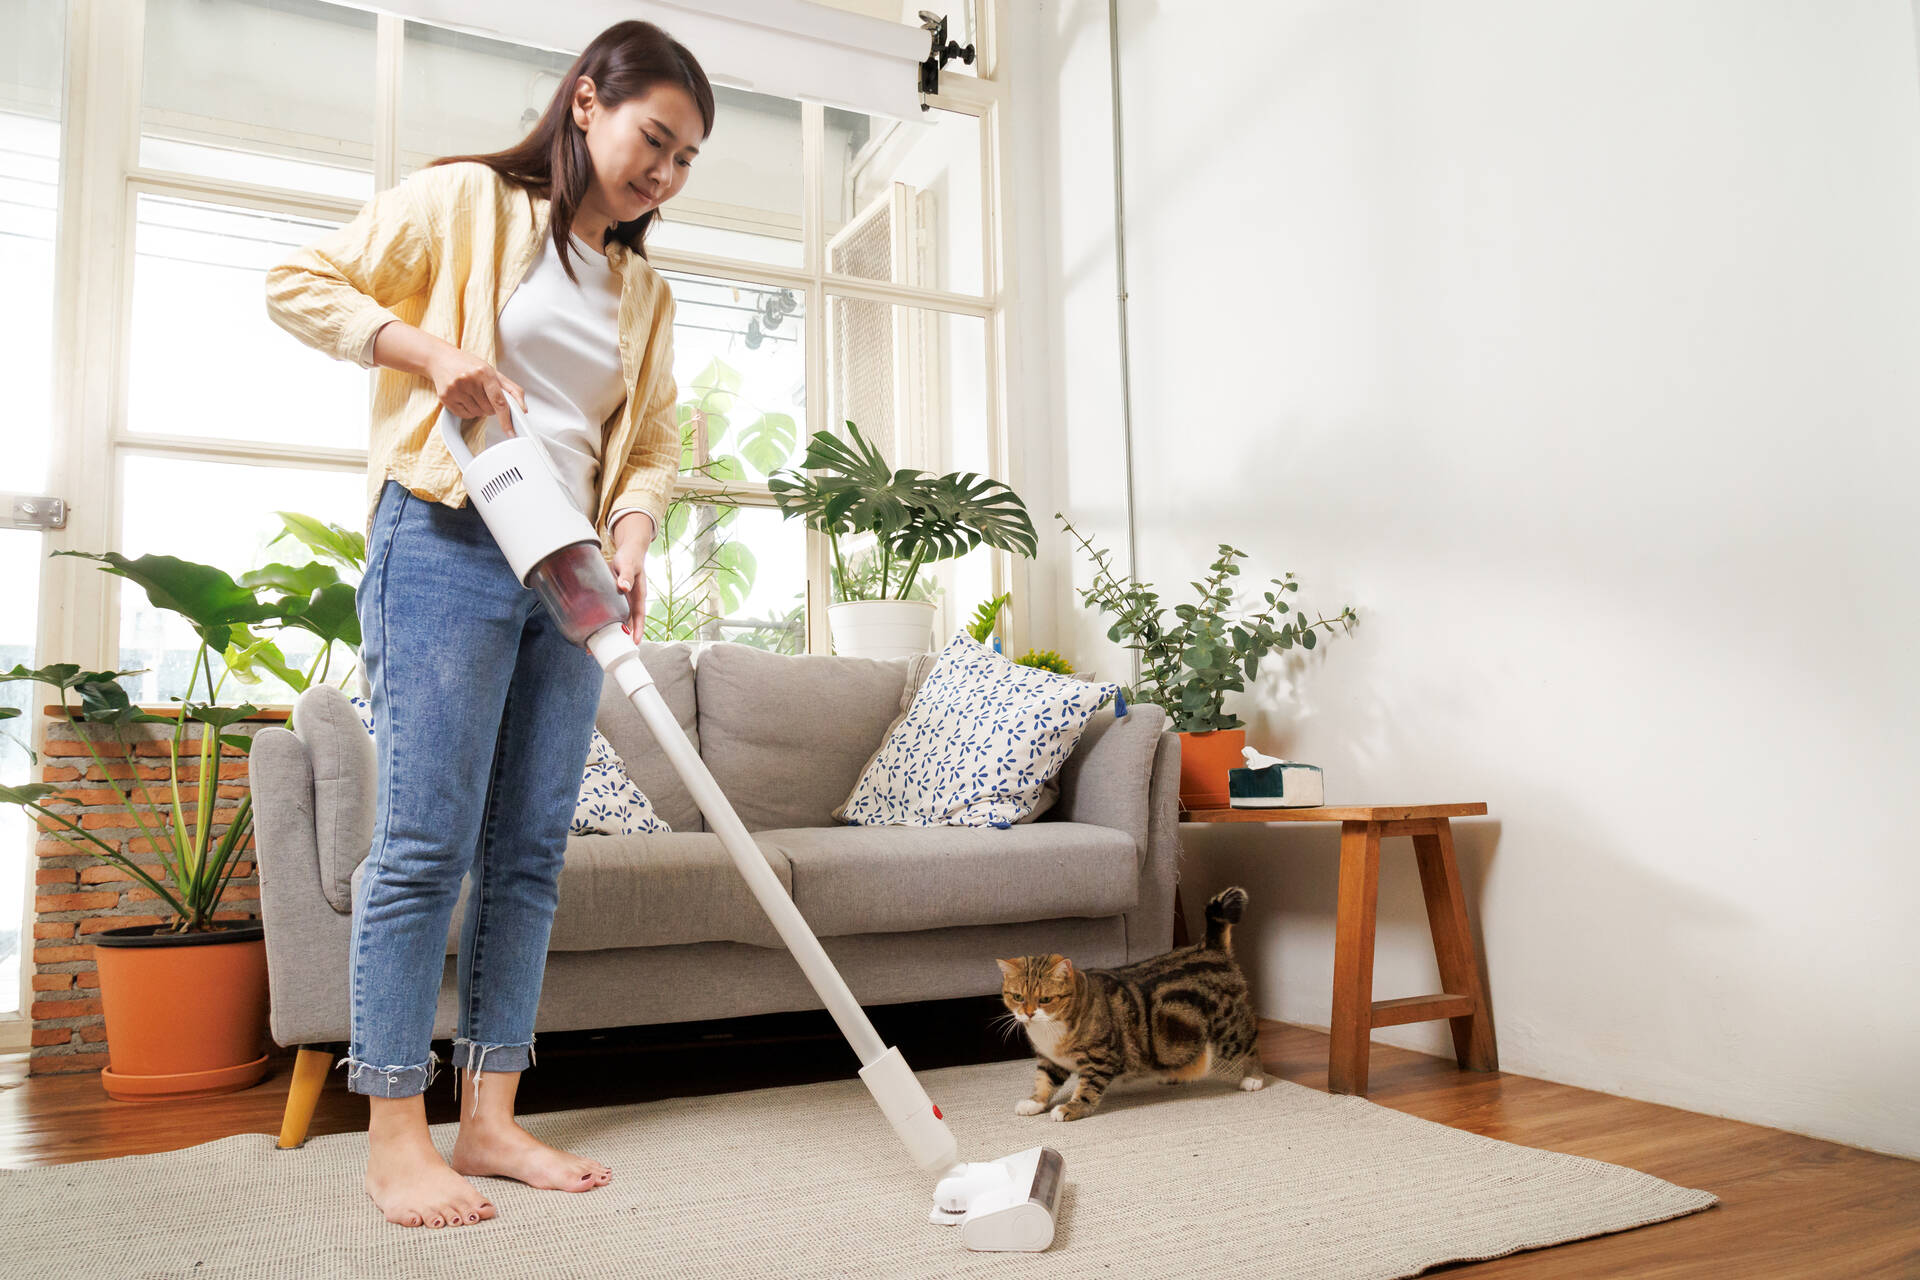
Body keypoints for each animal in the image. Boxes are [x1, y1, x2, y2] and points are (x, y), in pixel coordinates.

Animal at [998, 890, 1267, 1120]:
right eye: (1018, 997)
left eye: (1045, 999)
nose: (1028, 1013)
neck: (1049, 1031)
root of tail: (1209, 947)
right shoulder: (1049, 1059)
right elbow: (1045, 1080)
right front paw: (1034, 1102)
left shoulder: (1101, 1056)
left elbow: (1087, 1087)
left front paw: (1071, 1108)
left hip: (1228, 1028)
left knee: (1251, 1042)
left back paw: (1253, 1077)